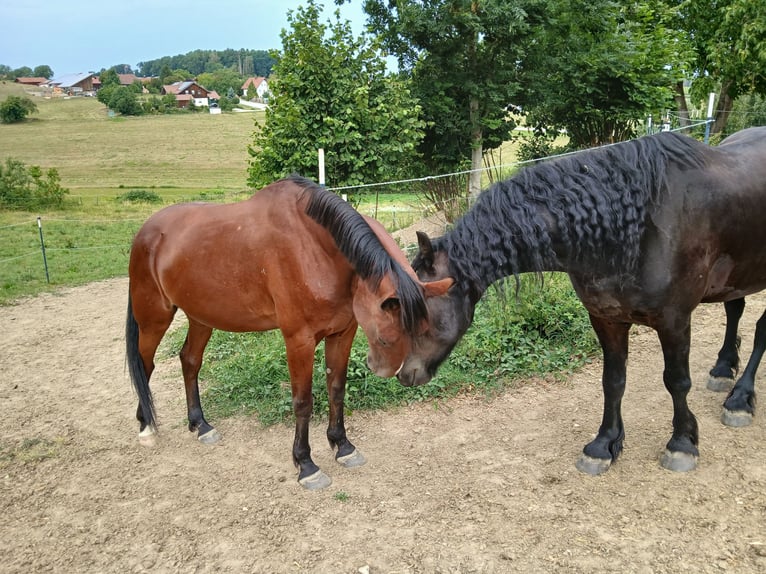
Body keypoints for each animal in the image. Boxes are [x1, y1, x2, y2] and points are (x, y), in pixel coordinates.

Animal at [125, 174, 452, 489]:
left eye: (424, 332)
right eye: (384, 337)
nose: (397, 374)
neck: (317, 249)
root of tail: (146, 231)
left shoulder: (342, 334)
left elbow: (336, 389)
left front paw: (343, 446)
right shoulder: (299, 341)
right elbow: (303, 402)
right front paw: (306, 465)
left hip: (200, 316)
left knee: (190, 361)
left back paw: (200, 425)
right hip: (154, 318)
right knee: (145, 364)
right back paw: (146, 426)